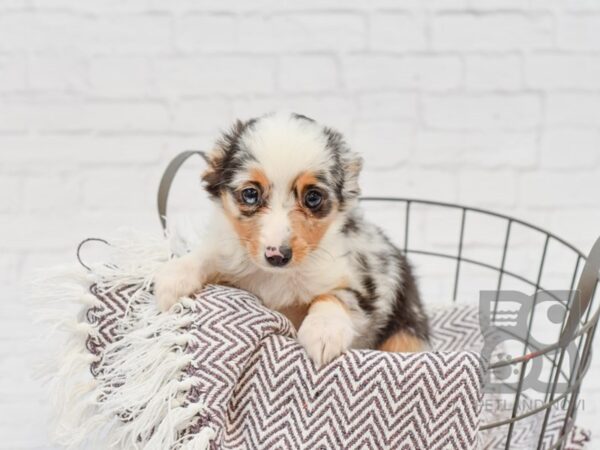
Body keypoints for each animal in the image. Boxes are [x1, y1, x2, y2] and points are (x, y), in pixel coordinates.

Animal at [152, 112, 428, 366]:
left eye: (313, 197)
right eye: (250, 194)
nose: (277, 255)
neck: (276, 276)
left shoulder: (361, 281)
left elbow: (336, 296)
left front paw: (324, 331)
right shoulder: (228, 253)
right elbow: (206, 254)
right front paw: (174, 279)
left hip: (405, 329)